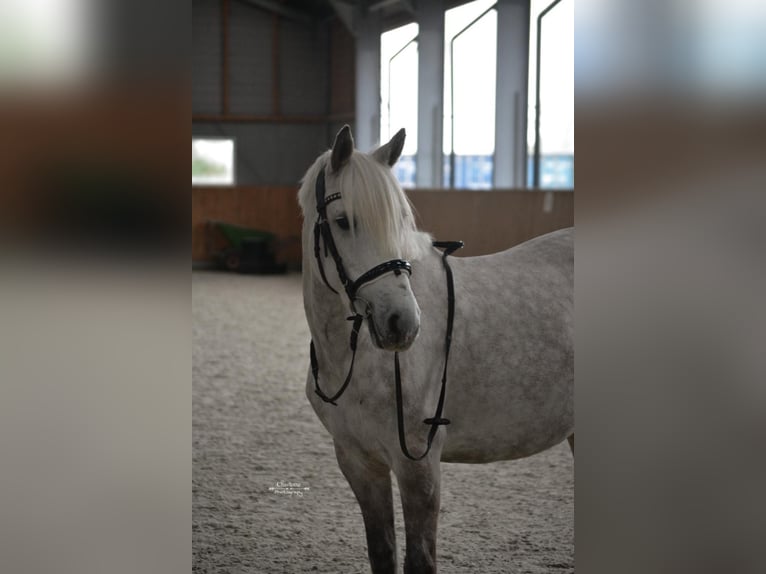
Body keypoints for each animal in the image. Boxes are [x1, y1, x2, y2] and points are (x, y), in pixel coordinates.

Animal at [298, 125, 573, 574]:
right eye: (342, 221)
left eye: (400, 221)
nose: (402, 323)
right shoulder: (359, 462)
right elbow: (382, 552)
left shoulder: (418, 466)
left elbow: (419, 559)